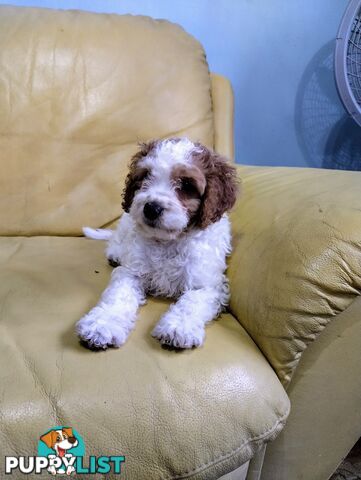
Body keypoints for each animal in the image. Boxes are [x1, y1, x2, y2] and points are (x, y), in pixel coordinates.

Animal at [75, 137, 239, 350]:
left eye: (187, 185)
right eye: (146, 176)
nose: (151, 208)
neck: (167, 241)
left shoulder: (208, 284)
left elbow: (191, 302)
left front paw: (178, 327)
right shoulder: (131, 272)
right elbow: (118, 296)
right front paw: (102, 324)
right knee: (116, 239)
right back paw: (115, 254)